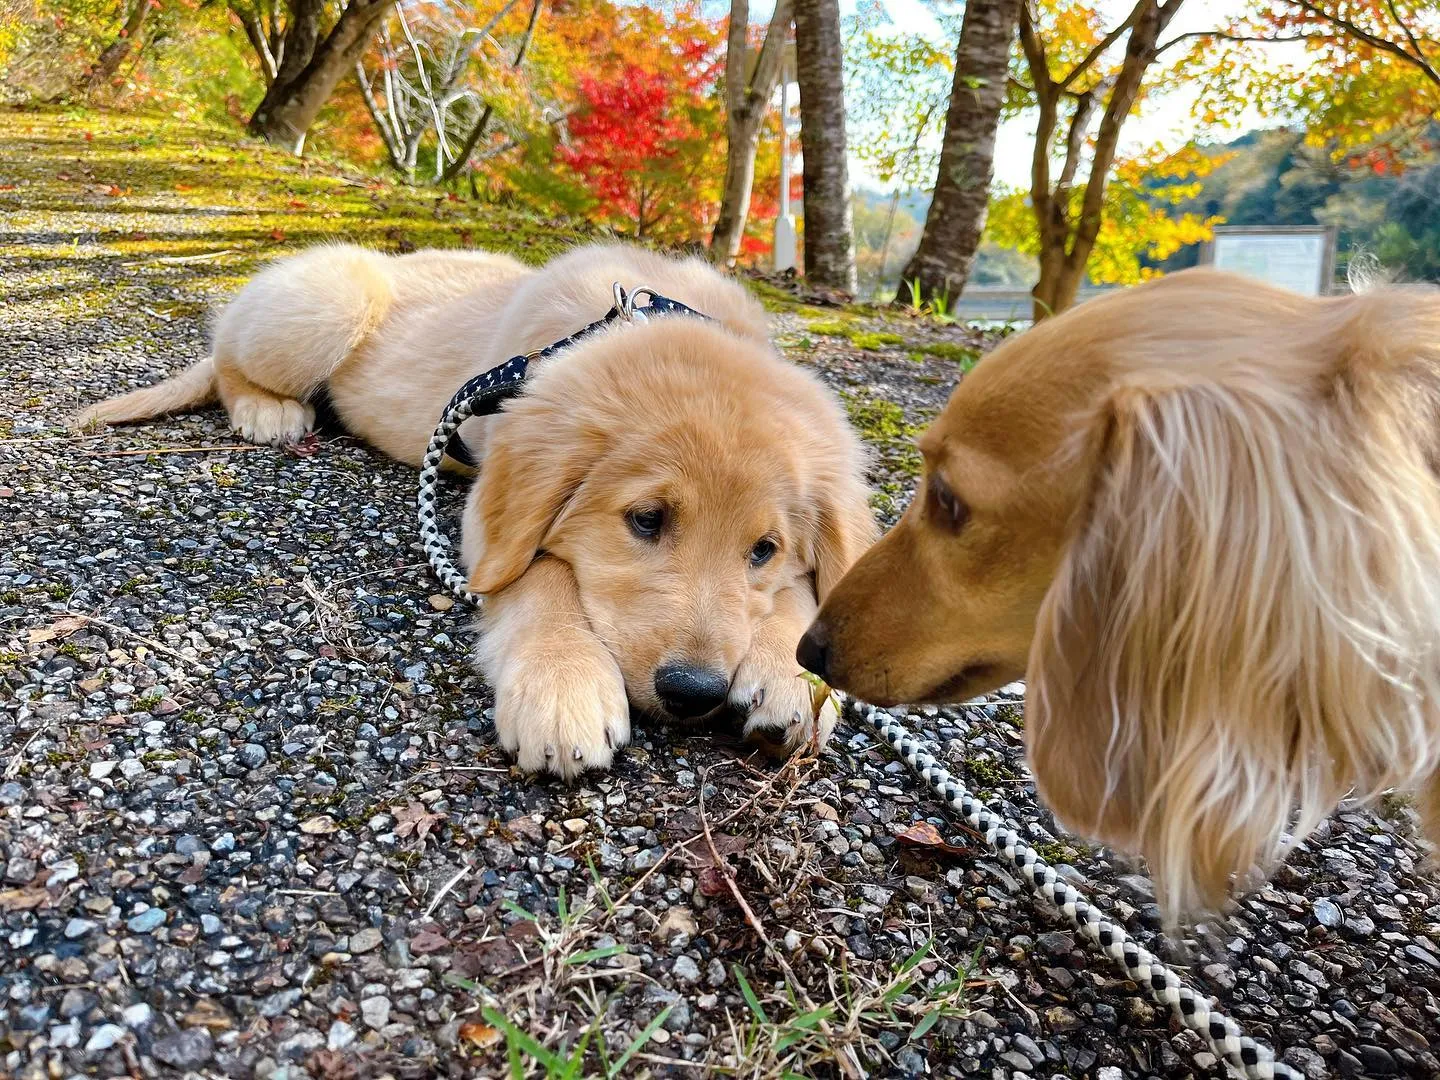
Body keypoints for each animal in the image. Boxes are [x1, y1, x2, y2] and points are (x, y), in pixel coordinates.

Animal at [75, 244, 875, 777]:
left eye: (764, 549)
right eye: (646, 520)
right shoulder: (488, 510)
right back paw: (267, 411)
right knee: (226, 362)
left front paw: (792, 677)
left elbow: (805, 590)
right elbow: (539, 573)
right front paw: (563, 684)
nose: (694, 691)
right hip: (327, 303)